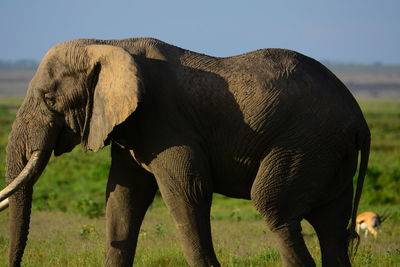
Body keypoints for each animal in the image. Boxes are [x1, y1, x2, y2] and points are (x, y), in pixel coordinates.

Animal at [0, 38, 370, 267]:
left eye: (50, 100)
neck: (109, 44)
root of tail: (359, 117)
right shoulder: (129, 128)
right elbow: (122, 198)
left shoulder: (167, 121)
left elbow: (187, 191)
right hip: (329, 153)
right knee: (331, 224)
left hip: (306, 142)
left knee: (274, 208)